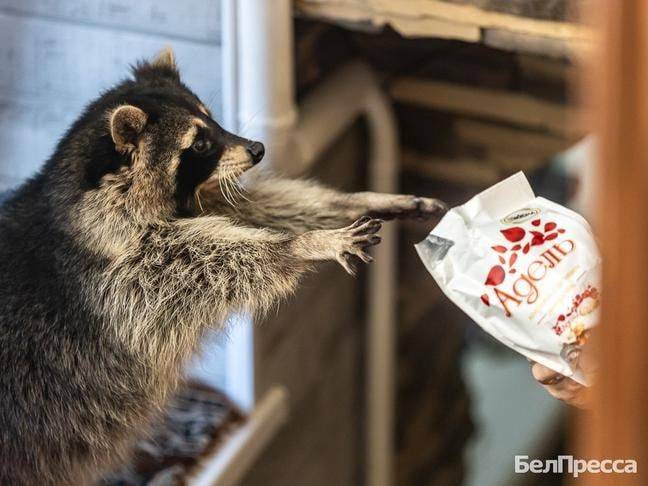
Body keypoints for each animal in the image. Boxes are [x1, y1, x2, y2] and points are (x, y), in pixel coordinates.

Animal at [0, 47, 446, 484]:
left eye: (212, 119)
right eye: (198, 144)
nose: (258, 148)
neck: (83, 199)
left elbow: (253, 207)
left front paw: (356, 202)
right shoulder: (114, 273)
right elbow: (206, 266)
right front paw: (299, 245)